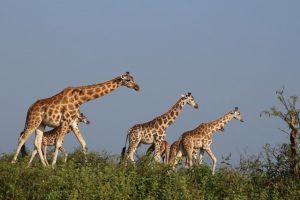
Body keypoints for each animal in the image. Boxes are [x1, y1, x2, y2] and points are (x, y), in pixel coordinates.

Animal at [10, 72, 139, 166]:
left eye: (133, 78)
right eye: (128, 80)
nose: (137, 87)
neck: (80, 99)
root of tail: (29, 108)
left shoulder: (73, 122)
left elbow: (83, 143)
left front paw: (86, 164)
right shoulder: (65, 120)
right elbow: (58, 143)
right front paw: (53, 165)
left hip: (41, 124)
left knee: (36, 142)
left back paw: (44, 166)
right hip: (33, 121)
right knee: (22, 138)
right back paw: (13, 163)